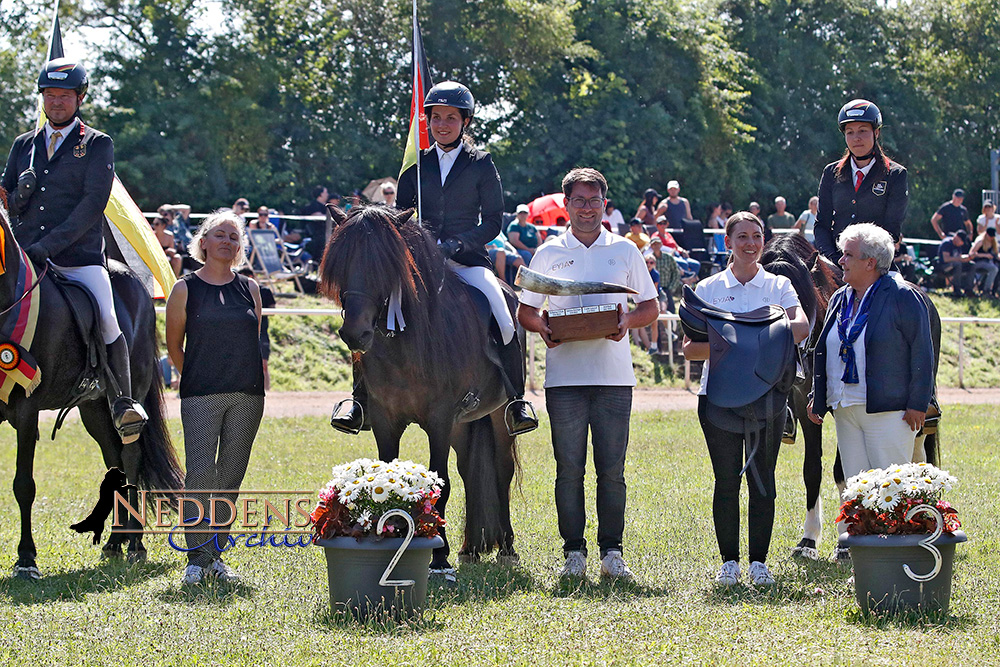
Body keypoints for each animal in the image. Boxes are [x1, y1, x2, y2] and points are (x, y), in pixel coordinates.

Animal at [0, 200, 184, 580]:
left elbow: (23, 485)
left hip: (131, 398)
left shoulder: (26, 410)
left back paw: (136, 543)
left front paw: (26, 559)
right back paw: (117, 539)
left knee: (130, 457)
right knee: (114, 461)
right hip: (95, 410)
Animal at [320, 205, 524, 576]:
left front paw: (439, 559)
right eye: (340, 264)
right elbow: (385, 476)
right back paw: (470, 549)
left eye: (385, 266)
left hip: (498, 417)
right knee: (469, 471)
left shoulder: (439, 419)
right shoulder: (385, 419)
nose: (354, 334)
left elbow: (440, 484)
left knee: (502, 471)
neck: (405, 342)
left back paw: (506, 548)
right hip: (463, 425)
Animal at [760, 235, 940, 560]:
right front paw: (808, 540)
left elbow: (843, 471)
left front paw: (844, 543)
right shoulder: (806, 407)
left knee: (917, 454)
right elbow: (812, 470)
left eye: (801, 298)